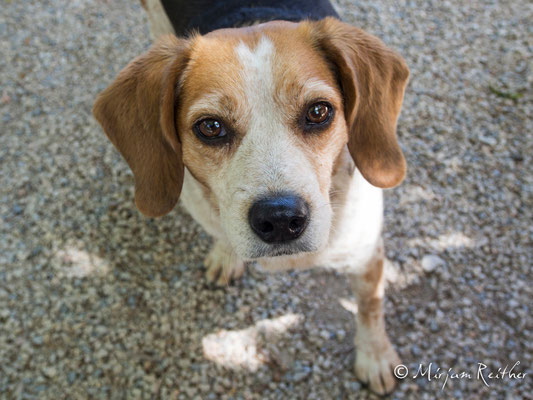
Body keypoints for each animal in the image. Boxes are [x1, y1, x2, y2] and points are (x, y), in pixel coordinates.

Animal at [92, 0, 408, 394]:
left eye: (319, 111)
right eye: (211, 127)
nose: (280, 219)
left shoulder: (365, 256)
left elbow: (369, 307)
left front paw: (375, 357)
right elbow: (221, 233)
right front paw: (227, 255)